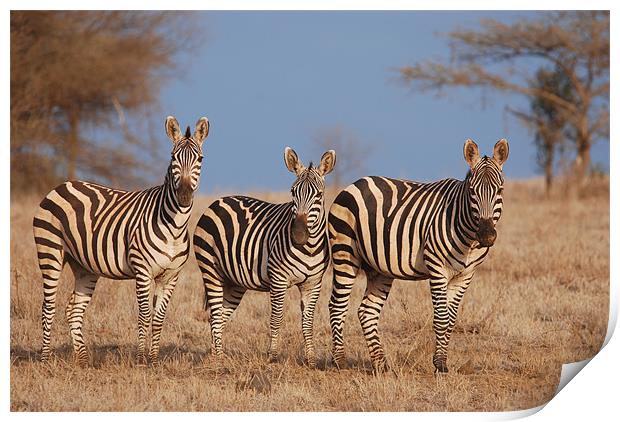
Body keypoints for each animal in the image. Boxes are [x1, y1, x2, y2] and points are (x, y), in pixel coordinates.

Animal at [33, 115, 211, 366]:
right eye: (173, 158)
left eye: (200, 159)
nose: (184, 195)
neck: (174, 227)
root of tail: (62, 185)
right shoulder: (143, 271)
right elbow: (144, 316)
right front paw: (140, 360)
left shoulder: (171, 276)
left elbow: (159, 319)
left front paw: (153, 361)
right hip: (49, 251)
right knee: (47, 307)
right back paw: (45, 359)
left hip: (84, 266)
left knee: (73, 310)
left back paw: (83, 360)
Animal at [194, 148, 336, 366]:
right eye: (293, 192)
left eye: (319, 195)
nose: (298, 234)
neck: (309, 248)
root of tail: (218, 201)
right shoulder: (278, 279)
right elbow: (276, 318)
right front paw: (273, 357)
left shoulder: (313, 283)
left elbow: (308, 321)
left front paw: (311, 360)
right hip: (210, 270)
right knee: (216, 315)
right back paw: (219, 359)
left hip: (234, 281)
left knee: (219, 316)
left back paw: (215, 354)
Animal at [330, 138, 508, 372]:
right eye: (472, 191)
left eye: (500, 189)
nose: (486, 236)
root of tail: (354, 183)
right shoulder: (437, 267)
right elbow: (441, 318)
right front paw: (440, 365)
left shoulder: (465, 275)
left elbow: (451, 320)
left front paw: (442, 361)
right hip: (345, 253)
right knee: (336, 306)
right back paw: (339, 362)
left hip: (379, 268)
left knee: (367, 311)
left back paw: (381, 365)